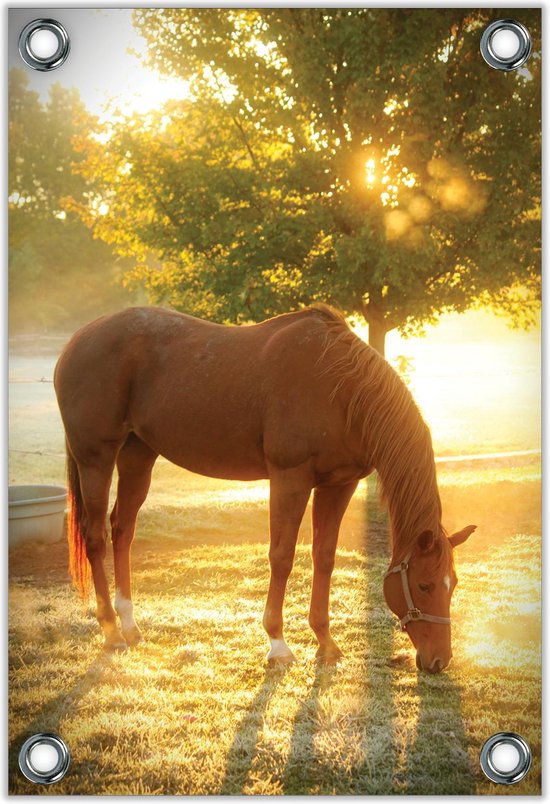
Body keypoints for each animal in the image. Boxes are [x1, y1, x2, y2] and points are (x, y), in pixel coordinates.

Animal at [56, 306, 476, 672]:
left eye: (452, 584)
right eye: (423, 584)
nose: (439, 661)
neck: (340, 388)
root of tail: (76, 341)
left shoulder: (338, 484)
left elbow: (324, 557)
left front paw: (326, 643)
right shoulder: (290, 478)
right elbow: (282, 556)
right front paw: (278, 645)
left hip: (138, 454)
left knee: (122, 529)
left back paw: (130, 625)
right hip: (95, 457)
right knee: (95, 536)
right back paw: (111, 632)